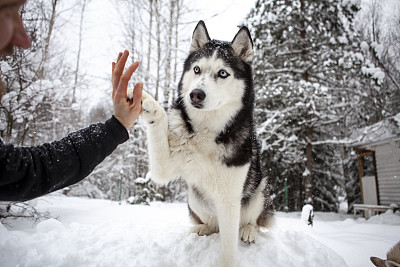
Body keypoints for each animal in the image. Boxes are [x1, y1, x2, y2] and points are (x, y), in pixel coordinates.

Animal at [137, 21, 272, 267]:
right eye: (197, 69)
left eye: (222, 73)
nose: (195, 94)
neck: (208, 130)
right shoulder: (164, 167)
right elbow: (160, 123)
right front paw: (149, 104)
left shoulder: (229, 201)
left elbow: (229, 250)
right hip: (194, 197)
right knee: (212, 225)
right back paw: (200, 229)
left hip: (259, 189)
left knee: (252, 222)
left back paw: (248, 230)